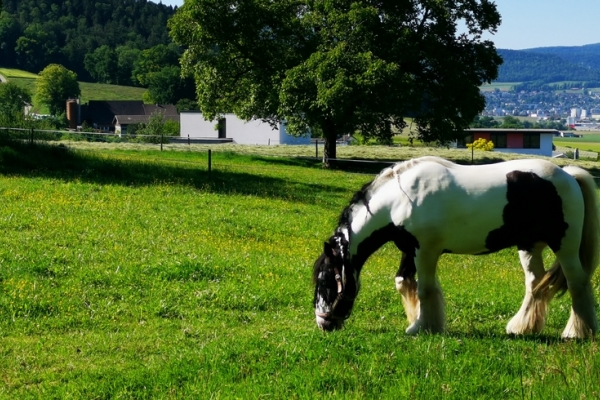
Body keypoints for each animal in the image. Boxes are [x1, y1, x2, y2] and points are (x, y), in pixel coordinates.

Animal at [314, 156, 600, 338]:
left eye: (326, 281)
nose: (323, 323)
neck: (400, 198)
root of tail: (568, 174)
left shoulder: (426, 251)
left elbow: (425, 289)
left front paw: (422, 327)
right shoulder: (410, 249)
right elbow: (404, 282)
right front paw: (418, 321)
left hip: (565, 246)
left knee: (577, 283)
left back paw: (577, 332)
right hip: (529, 246)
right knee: (535, 284)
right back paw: (522, 328)